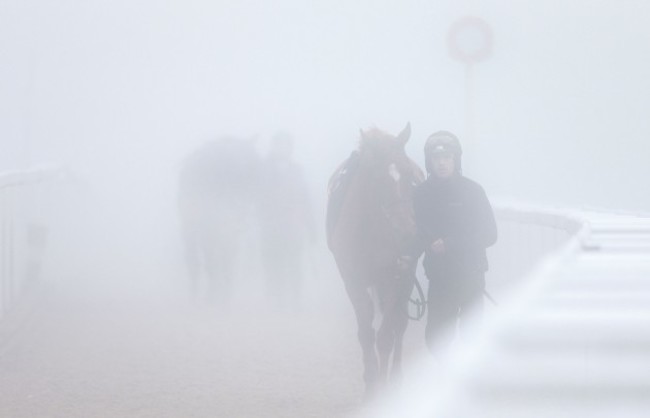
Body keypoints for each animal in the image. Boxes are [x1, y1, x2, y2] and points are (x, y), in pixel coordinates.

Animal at [324, 123, 426, 396]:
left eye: (408, 175)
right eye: (378, 178)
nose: (408, 232)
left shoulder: (394, 276)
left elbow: (386, 335)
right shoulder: (353, 280)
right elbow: (365, 333)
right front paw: (371, 382)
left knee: (400, 325)